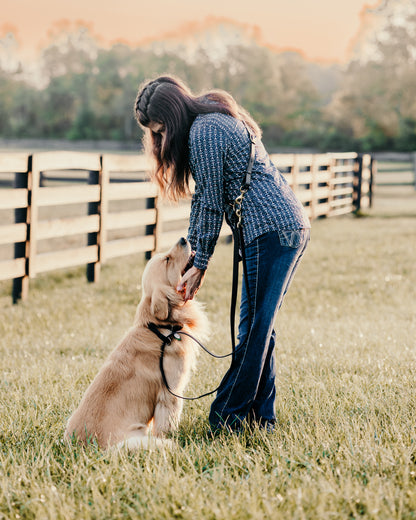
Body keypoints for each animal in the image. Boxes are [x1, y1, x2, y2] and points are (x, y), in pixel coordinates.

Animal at [65, 238, 208, 448]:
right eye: (167, 260)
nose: (183, 239)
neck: (161, 329)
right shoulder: (171, 392)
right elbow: (168, 423)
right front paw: (174, 437)